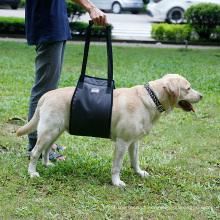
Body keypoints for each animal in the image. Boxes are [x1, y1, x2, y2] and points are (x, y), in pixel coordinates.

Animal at [16, 74, 203, 186]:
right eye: (188, 88)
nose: (201, 96)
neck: (151, 98)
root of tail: (46, 94)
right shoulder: (122, 142)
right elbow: (116, 166)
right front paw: (116, 182)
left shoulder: (133, 142)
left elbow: (135, 160)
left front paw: (139, 173)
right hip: (49, 131)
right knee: (35, 152)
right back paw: (32, 172)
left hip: (56, 131)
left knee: (46, 149)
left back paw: (46, 164)